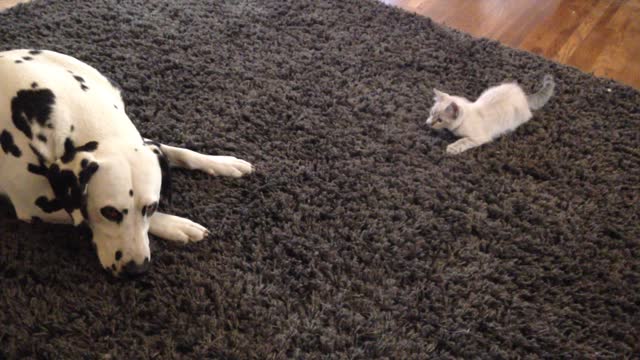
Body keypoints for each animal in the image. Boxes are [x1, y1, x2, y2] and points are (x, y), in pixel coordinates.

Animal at [0, 49, 255, 278]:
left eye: (151, 207)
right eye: (110, 212)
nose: (137, 270)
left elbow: (179, 152)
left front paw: (224, 163)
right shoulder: (35, 204)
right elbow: (83, 215)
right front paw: (177, 225)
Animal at [424, 74, 556, 155]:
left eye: (440, 120)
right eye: (431, 113)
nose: (429, 123)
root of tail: (524, 96)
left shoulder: (478, 138)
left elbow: (463, 141)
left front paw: (452, 147)